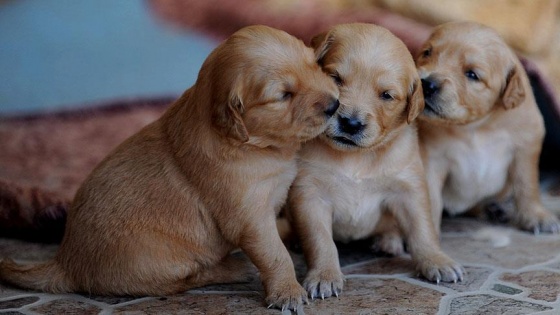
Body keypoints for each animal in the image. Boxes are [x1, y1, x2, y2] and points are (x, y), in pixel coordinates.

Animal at [0, 25, 340, 312]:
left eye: (314, 64)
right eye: (284, 95)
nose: (335, 105)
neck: (253, 144)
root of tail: (64, 262)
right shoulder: (248, 216)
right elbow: (274, 254)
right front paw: (287, 291)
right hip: (157, 260)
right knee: (184, 280)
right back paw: (235, 266)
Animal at [284, 22, 464, 302]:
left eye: (386, 96)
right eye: (335, 78)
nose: (351, 123)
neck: (357, 157)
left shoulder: (408, 188)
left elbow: (422, 229)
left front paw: (437, 260)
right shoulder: (310, 194)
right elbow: (320, 241)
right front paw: (324, 275)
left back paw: (388, 242)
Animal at [416, 21, 560, 235]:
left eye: (472, 74)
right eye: (427, 53)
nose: (425, 84)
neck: (476, 126)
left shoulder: (526, 144)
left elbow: (527, 184)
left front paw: (536, 216)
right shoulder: (432, 158)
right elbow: (431, 197)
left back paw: (494, 209)